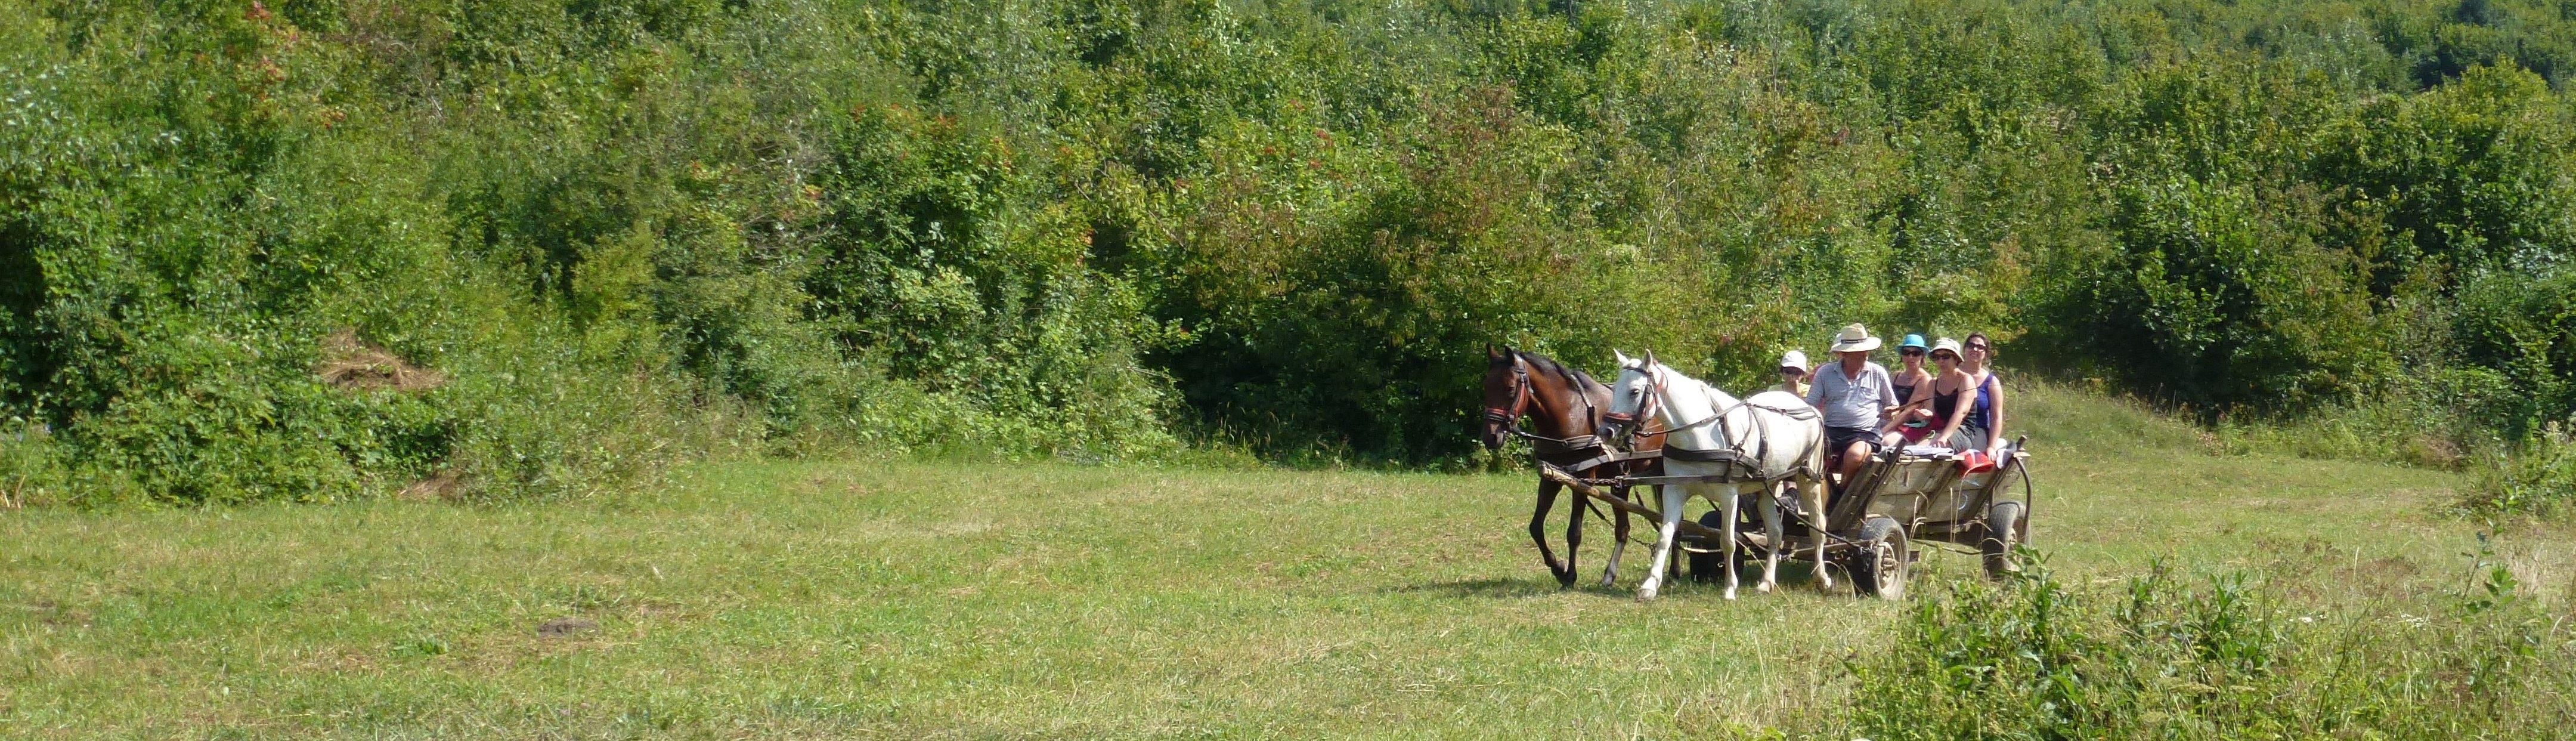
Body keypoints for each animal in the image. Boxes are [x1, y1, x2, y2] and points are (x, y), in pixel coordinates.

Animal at [1494, 344, 1669, 586]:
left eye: (1510, 388)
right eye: (1485, 387)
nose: (1491, 436)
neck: (1569, 414)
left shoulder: (1584, 481)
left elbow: (1574, 533)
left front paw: (1569, 575)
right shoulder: (1551, 478)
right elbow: (1536, 527)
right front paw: (1557, 567)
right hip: (1622, 484)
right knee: (1624, 528)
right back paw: (1611, 575)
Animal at [1607, 350, 1834, 599]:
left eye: (1635, 391)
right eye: (1615, 389)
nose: (1606, 431)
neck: (1698, 434)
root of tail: (1809, 408)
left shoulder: (1729, 495)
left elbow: (1727, 541)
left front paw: (1729, 588)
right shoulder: (1674, 490)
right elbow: (1665, 535)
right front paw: (1649, 586)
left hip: (1808, 480)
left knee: (1818, 528)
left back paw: (1822, 579)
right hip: (1767, 485)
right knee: (1776, 533)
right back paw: (1766, 583)